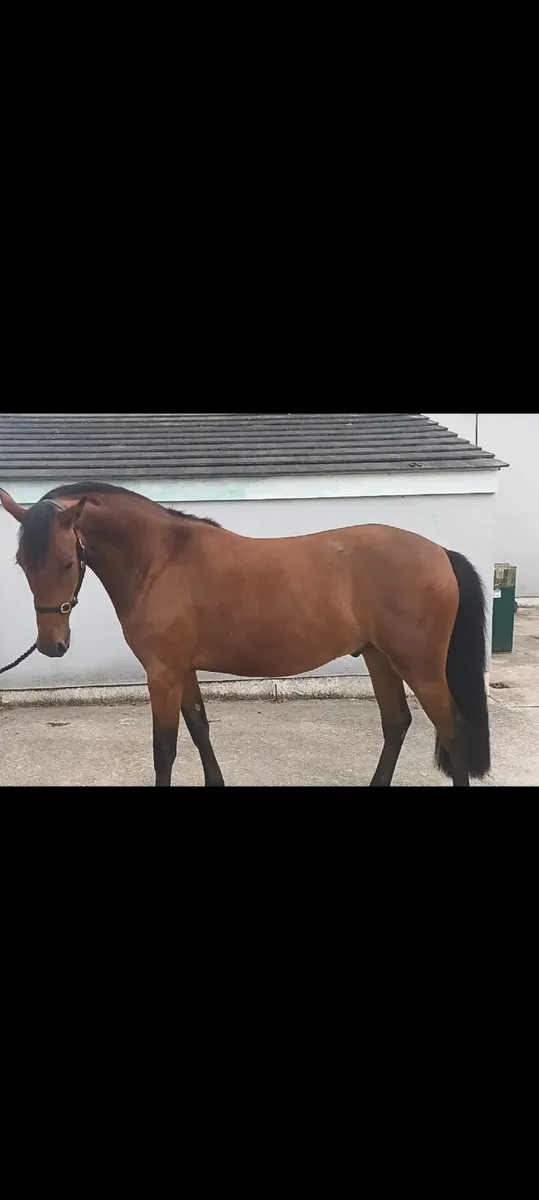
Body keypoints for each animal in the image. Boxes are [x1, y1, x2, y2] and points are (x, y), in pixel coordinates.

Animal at [0, 481, 491, 787]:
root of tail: (439, 552)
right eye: (22, 563)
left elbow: (165, 749)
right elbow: (200, 730)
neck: (160, 560)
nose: (51, 645)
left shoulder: (162, 673)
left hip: (420, 667)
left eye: (67, 562)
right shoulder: (182, 670)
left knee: (452, 731)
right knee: (397, 724)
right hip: (379, 657)